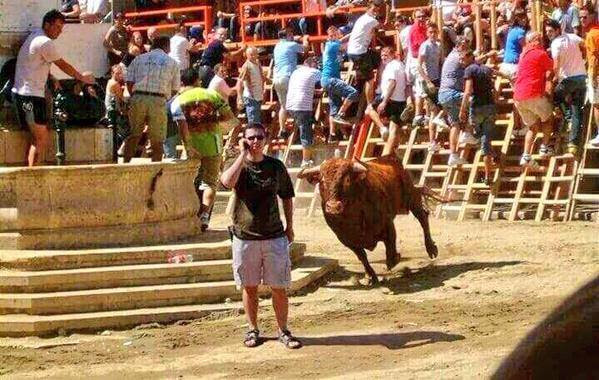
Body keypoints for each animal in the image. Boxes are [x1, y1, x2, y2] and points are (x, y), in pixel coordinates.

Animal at [300, 155, 440, 284]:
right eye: (322, 180)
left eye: (347, 179)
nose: (333, 207)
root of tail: (389, 158)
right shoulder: (346, 240)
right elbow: (362, 257)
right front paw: (370, 276)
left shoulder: (388, 225)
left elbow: (391, 250)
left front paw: (395, 259)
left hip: (410, 197)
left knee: (422, 216)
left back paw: (431, 249)